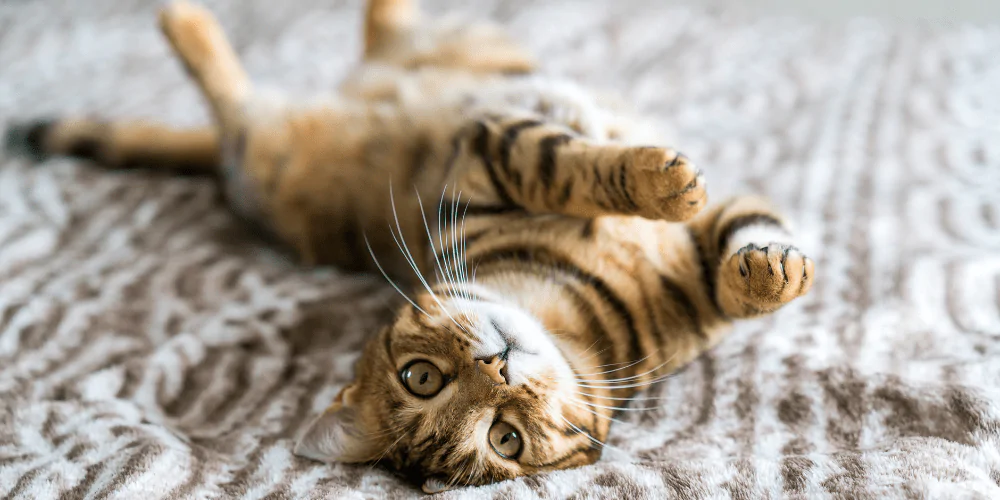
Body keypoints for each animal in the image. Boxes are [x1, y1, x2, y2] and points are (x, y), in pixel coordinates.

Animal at [3, 0, 812, 492]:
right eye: (426, 382)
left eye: (506, 436)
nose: (499, 368)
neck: (564, 311)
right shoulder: (486, 155)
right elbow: (563, 161)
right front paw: (659, 180)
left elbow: (740, 250)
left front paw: (770, 270)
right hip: (267, 155)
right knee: (236, 104)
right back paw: (185, 21)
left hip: (455, 54)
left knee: (385, 32)